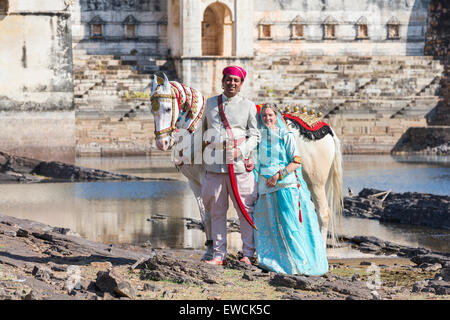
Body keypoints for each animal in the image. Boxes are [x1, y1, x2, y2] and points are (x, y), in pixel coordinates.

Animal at [149, 74, 342, 258]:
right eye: (152, 109)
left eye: (168, 109)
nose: (162, 143)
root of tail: (327, 128)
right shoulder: (194, 183)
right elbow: (205, 215)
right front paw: (209, 249)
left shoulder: (206, 179)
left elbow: (212, 212)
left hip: (316, 180)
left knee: (323, 212)